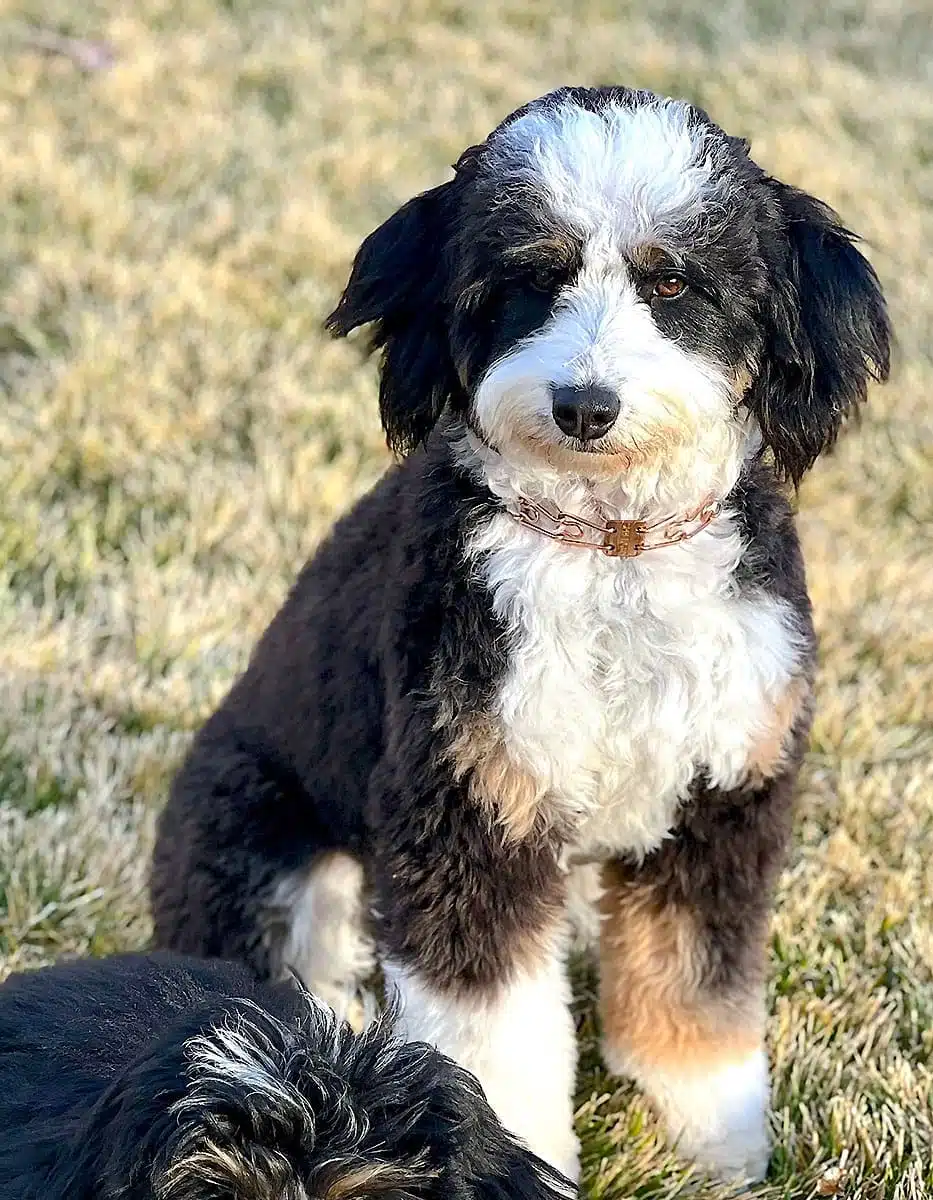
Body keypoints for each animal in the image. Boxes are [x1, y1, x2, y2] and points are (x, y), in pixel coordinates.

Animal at [149, 84, 892, 1180]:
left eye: (673, 284)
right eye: (531, 279)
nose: (584, 405)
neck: (611, 549)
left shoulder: (720, 800)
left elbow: (697, 990)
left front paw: (717, 1148)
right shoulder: (468, 817)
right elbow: (492, 1031)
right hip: (266, 853)